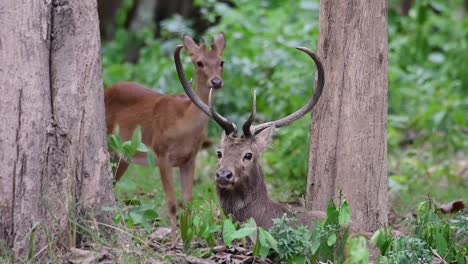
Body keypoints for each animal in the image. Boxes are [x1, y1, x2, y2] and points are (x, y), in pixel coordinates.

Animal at [103, 33, 227, 227]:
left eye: (221, 61)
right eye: (199, 62)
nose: (216, 81)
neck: (183, 123)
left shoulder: (190, 158)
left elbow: (188, 201)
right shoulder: (161, 153)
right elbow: (172, 203)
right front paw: (173, 233)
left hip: (124, 154)